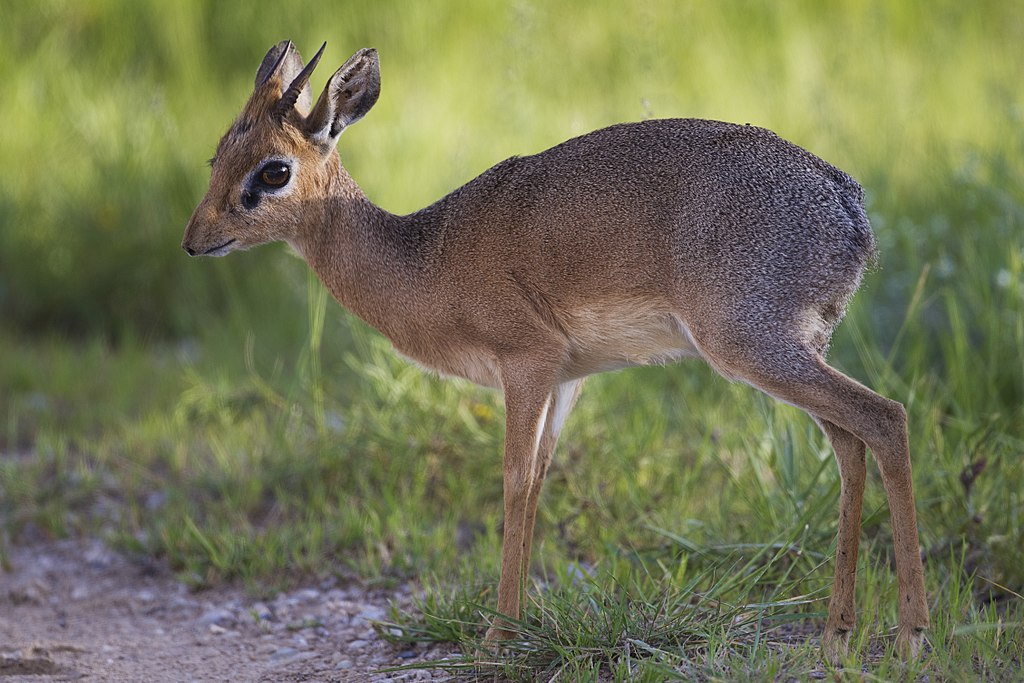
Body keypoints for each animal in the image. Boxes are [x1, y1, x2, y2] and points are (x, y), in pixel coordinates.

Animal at [182, 40, 929, 659]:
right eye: (218, 152)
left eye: (273, 170)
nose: (195, 240)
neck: (423, 258)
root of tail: (848, 204)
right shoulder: (569, 377)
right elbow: (540, 478)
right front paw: (517, 624)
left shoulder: (526, 363)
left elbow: (514, 479)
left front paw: (498, 636)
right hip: (795, 348)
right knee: (850, 440)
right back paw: (837, 635)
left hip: (752, 346)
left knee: (886, 416)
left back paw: (911, 636)